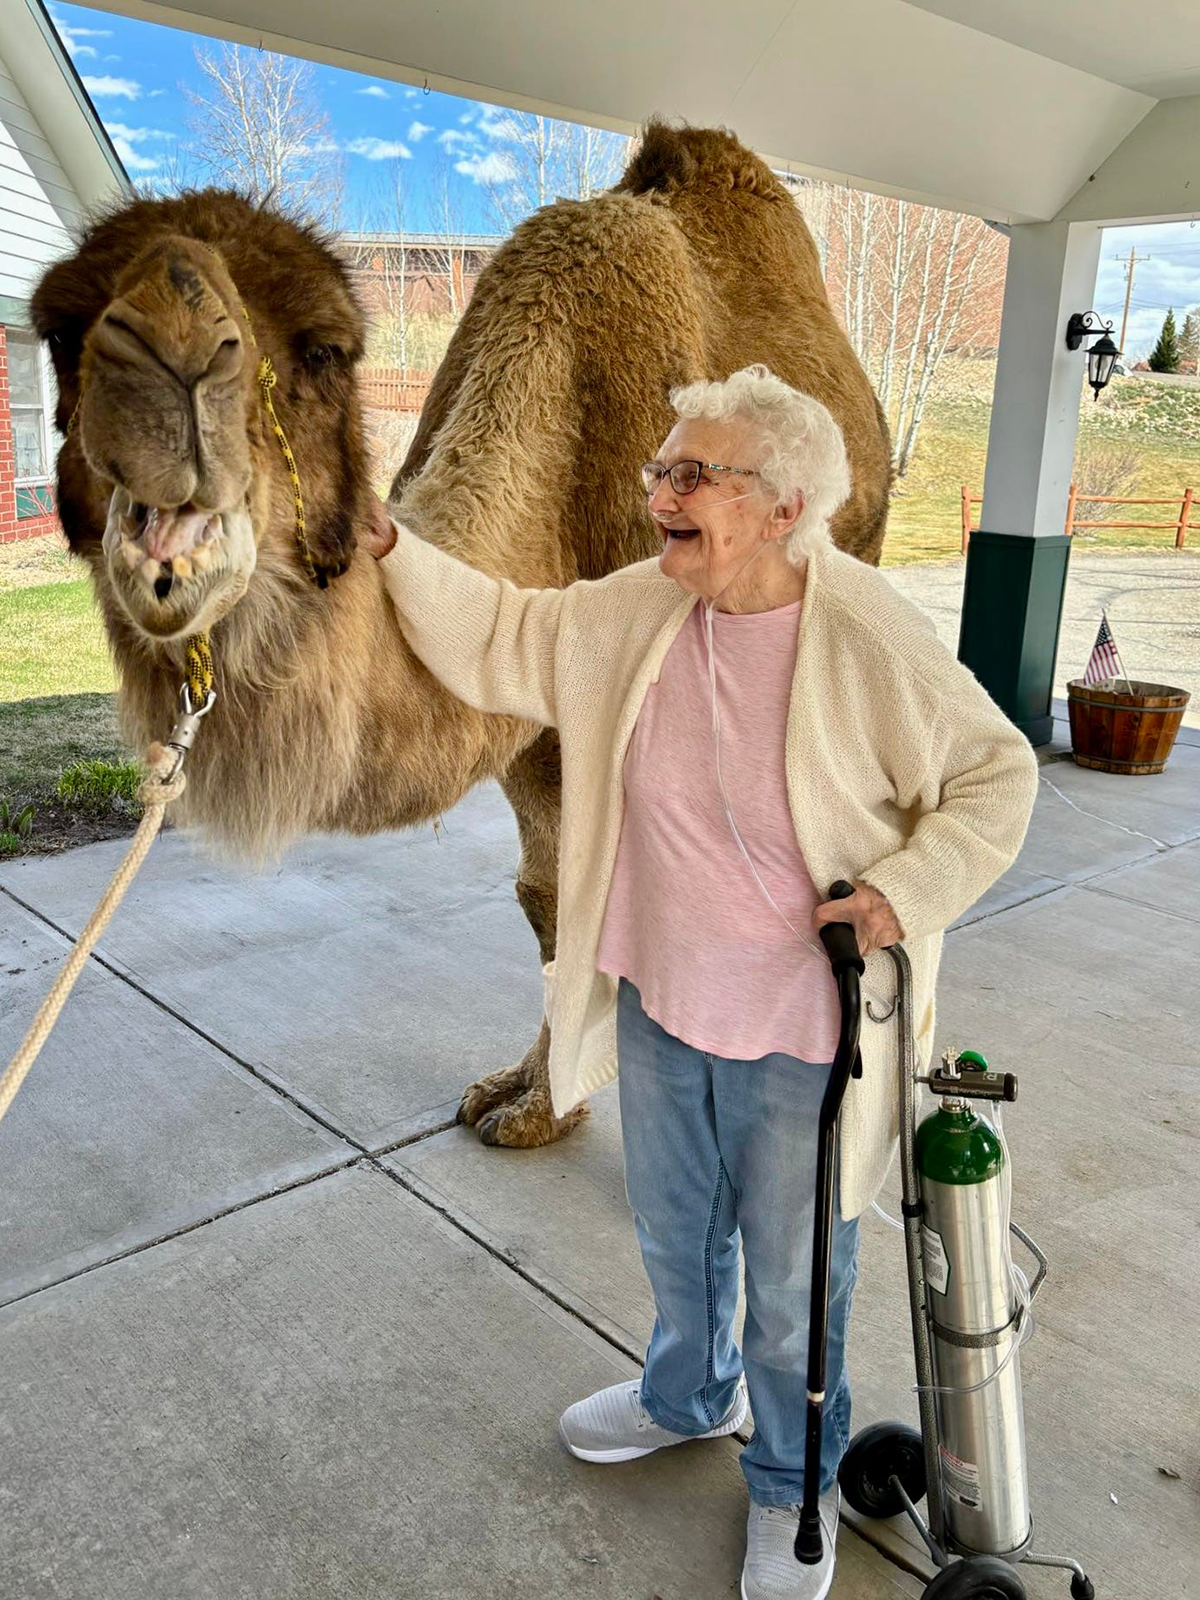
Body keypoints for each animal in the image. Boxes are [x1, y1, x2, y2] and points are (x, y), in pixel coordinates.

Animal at [31, 121, 892, 1150]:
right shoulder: (534, 717)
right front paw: (535, 1100)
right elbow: (548, 899)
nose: (168, 381)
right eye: (57, 332)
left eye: (326, 348)